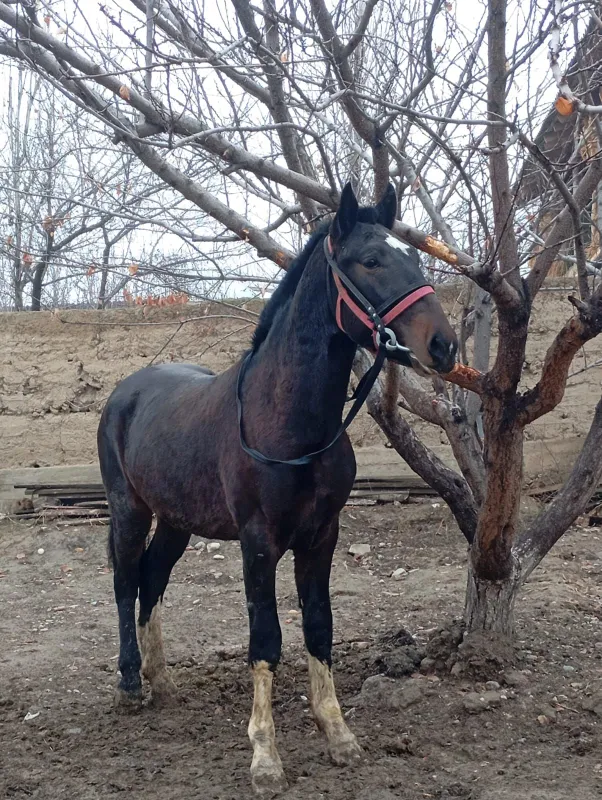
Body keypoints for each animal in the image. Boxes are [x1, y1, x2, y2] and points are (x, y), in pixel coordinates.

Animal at [98, 183, 457, 795]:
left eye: (414, 256)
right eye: (371, 260)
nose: (443, 346)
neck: (288, 422)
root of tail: (127, 391)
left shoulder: (322, 537)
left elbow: (319, 627)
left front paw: (339, 736)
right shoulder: (258, 540)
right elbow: (265, 638)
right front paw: (265, 757)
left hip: (176, 522)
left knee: (151, 580)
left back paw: (161, 682)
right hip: (130, 510)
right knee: (126, 582)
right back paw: (128, 685)